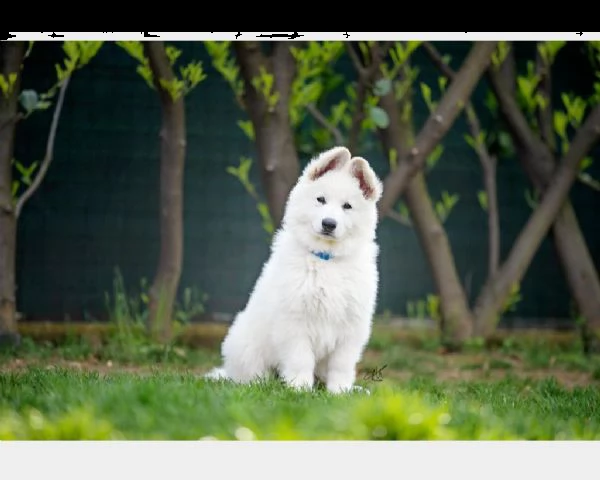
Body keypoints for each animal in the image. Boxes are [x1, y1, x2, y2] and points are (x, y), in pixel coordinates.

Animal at [206, 146, 382, 394]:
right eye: (320, 199)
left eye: (347, 206)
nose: (329, 223)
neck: (326, 258)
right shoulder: (294, 322)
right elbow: (300, 359)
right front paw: (299, 388)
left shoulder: (352, 326)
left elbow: (341, 364)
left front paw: (340, 391)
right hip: (245, 344)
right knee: (250, 376)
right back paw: (263, 383)